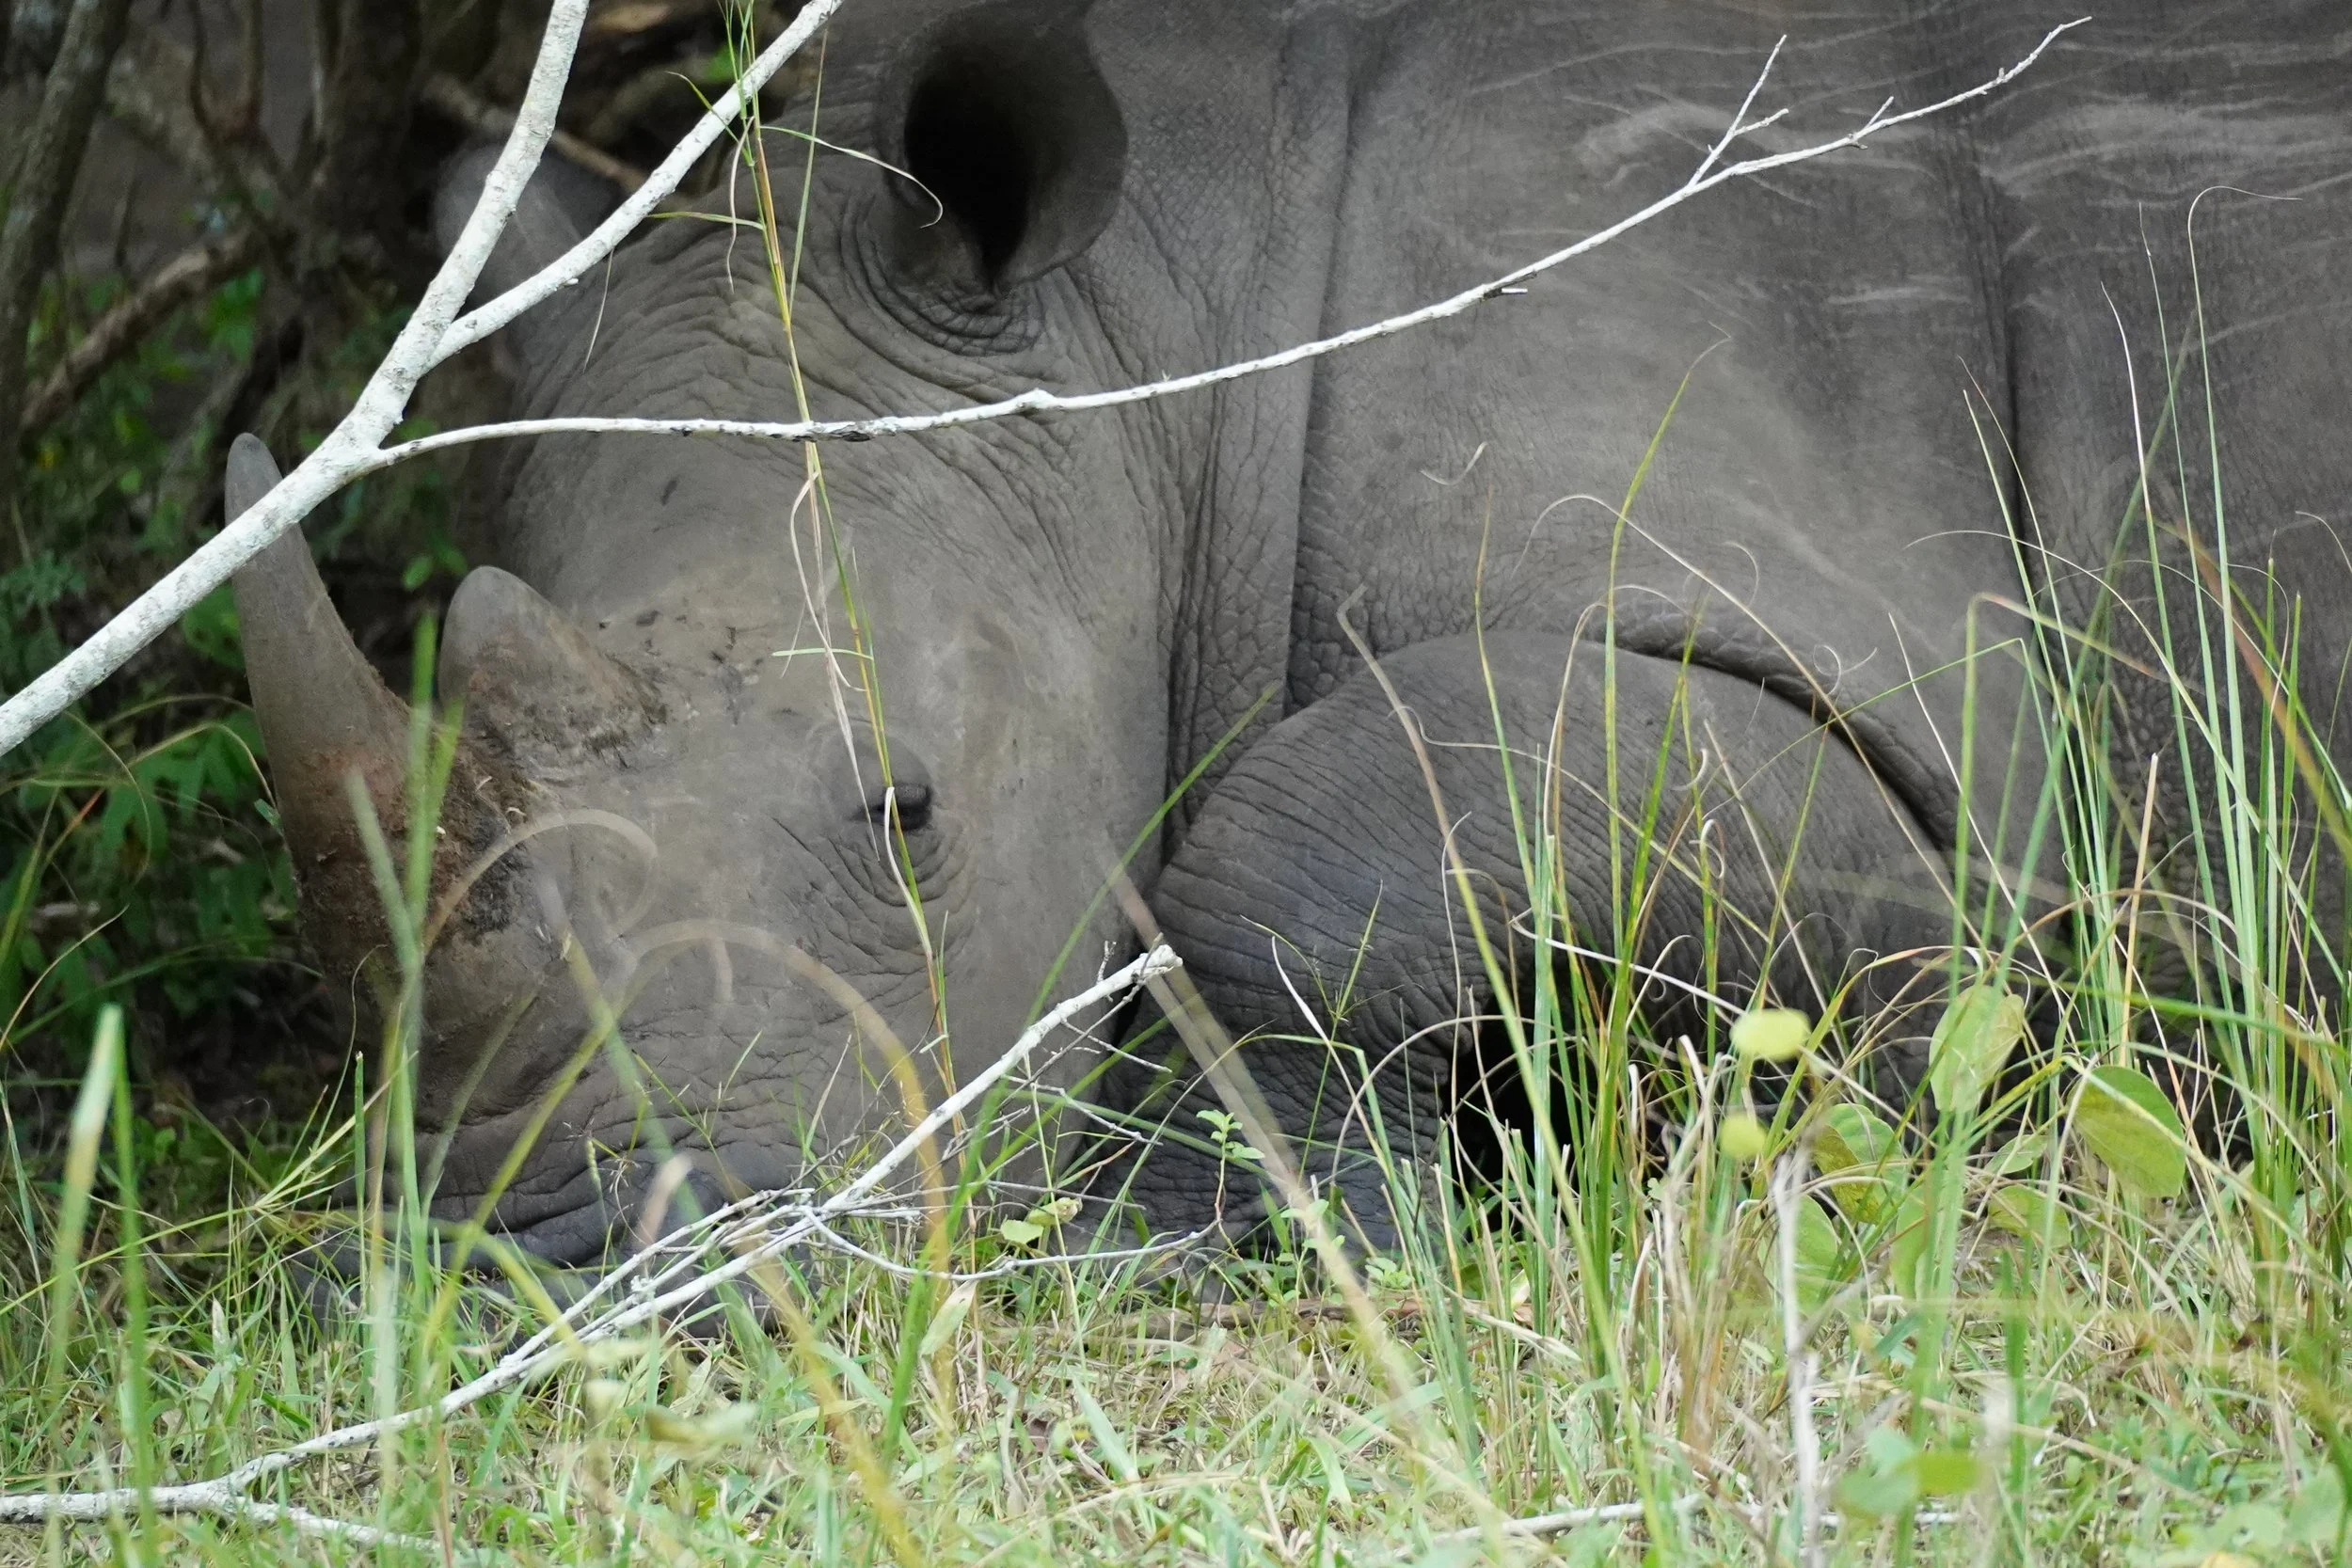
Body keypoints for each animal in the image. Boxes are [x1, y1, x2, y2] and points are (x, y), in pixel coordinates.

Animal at [227, 0, 2352, 1261]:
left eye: (909, 814)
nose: (546, 1260)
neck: (1162, 332)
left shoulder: (1893, 727)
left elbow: (1318, 845)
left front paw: (1228, 1216)